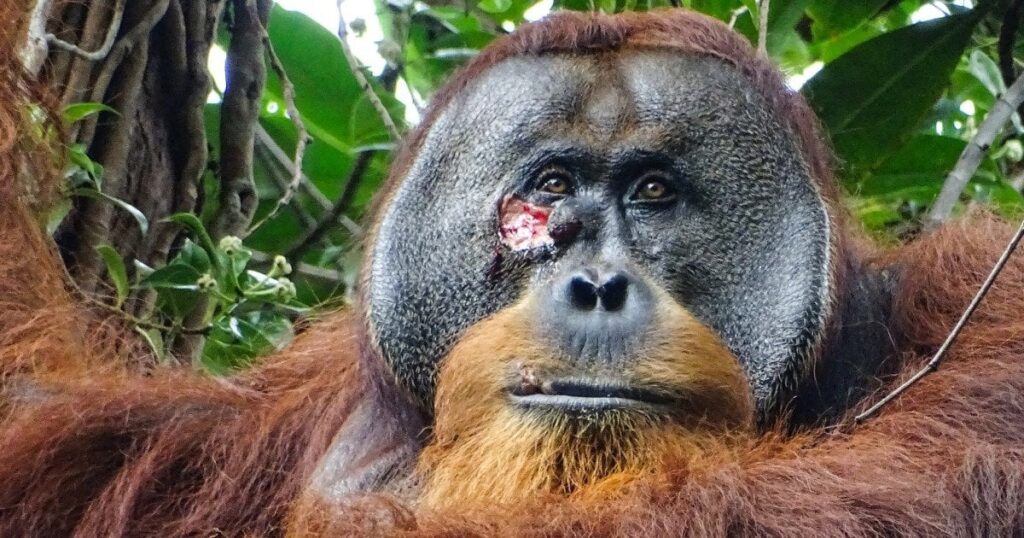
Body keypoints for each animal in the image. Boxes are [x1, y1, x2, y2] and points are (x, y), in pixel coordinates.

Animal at [2, 7, 1024, 538]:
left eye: (654, 191)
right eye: (552, 187)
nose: (598, 285)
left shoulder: (973, 305)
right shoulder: (250, 429)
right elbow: (39, 416)